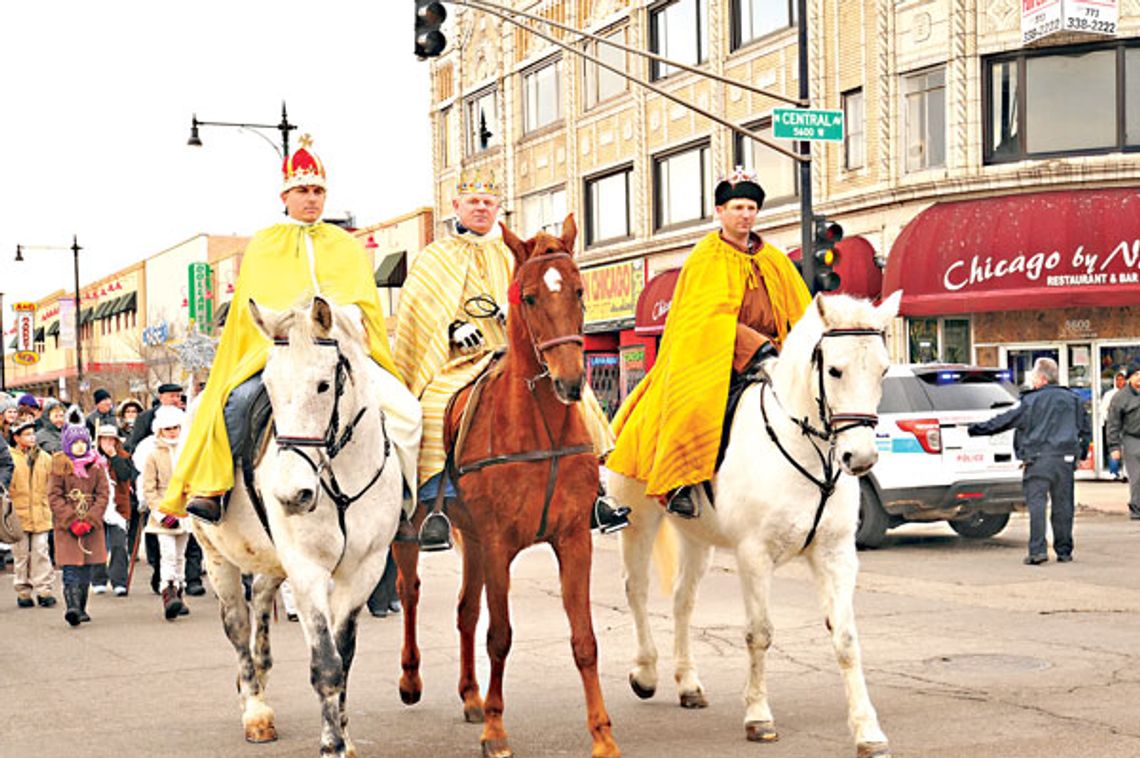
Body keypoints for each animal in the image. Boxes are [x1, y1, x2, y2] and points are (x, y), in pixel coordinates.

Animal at [186, 296, 401, 756]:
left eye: (323, 385)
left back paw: (260, 670)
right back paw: (255, 708)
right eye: (267, 384)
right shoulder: (306, 568)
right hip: (215, 555)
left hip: (271, 559)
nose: (290, 495)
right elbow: (326, 663)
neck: (339, 478)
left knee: (262, 596)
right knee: (237, 623)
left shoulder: (365, 569)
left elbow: (344, 654)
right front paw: (331, 743)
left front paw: (344, 735)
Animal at [394, 214, 624, 756]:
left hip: (472, 539)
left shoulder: (572, 539)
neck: (538, 426)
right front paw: (497, 731)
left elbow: (584, 640)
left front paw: (602, 735)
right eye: (532, 297)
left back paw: (470, 695)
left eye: (579, 291)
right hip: (414, 530)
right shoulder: (499, 543)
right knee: (409, 590)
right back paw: (411, 680)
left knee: (464, 611)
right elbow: (499, 635)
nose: (571, 383)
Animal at [611, 290, 902, 756]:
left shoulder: (836, 554)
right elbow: (759, 634)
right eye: (834, 370)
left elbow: (846, 639)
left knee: (682, 601)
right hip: (638, 519)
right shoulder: (754, 555)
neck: (808, 453)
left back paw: (688, 683)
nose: (860, 458)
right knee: (635, 590)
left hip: (697, 538)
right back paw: (646, 673)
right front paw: (759, 716)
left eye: (883, 369)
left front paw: (867, 731)